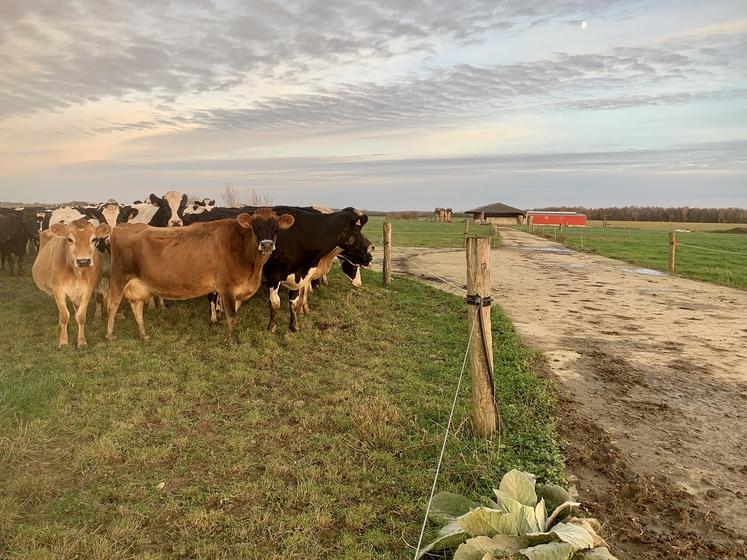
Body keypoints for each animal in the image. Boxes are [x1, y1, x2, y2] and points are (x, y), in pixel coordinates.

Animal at [32, 218, 112, 346]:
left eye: (94, 239)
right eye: (69, 239)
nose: (83, 261)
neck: (76, 273)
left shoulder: (87, 291)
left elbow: (81, 316)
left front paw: (81, 341)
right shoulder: (58, 290)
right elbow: (64, 315)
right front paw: (63, 340)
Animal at [108, 208, 296, 344]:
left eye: (276, 228)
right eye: (255, 227)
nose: (267, 245)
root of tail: (122, 226)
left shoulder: (238, 291)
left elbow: (233, 315)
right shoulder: (226, 287)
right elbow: (232, 316)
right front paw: (232, 342)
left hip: (137, 286)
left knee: (137, 308)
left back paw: (143, 335)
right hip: (118, 279)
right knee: (112, 306)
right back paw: (109, 336)